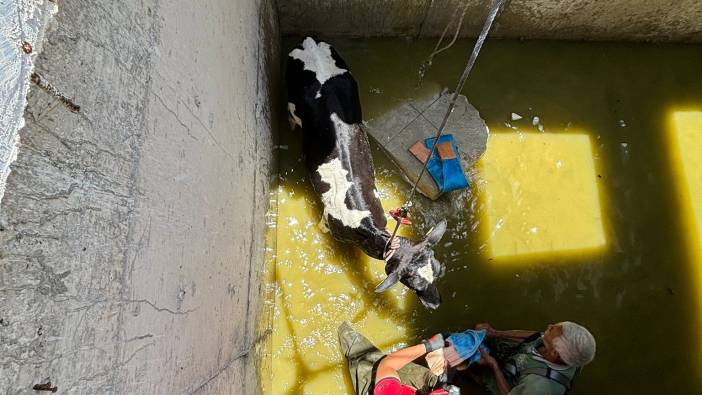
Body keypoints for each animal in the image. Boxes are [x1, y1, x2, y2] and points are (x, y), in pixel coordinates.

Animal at [288, 38, 448, 310]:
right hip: (290, 100)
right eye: (413, 285)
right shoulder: (327, 224)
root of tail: (309, 41)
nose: (436, 304)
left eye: (437, 271)